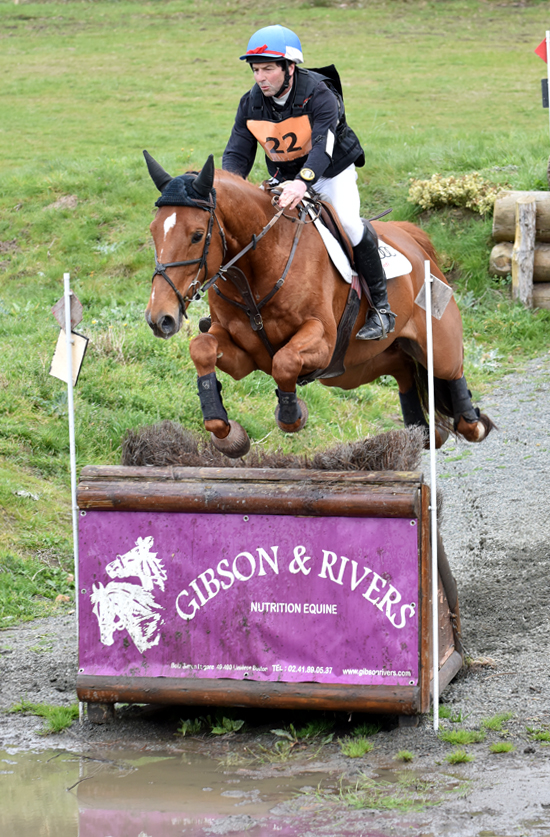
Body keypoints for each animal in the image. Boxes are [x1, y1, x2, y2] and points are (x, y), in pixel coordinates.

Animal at [142, 153, 496, 460]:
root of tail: (412, 237)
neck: (253, 272)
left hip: (436, 344)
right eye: (153, 231)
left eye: (196, 235)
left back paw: (471, 423)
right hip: (350, 369)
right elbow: (201, 348)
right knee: (402, 367)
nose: (161, 319)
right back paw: (423, 430)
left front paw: (290, 414)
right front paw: (226, 433)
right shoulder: (243, 354)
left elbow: (284, 362)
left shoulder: (322, 340)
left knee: (451, 374)